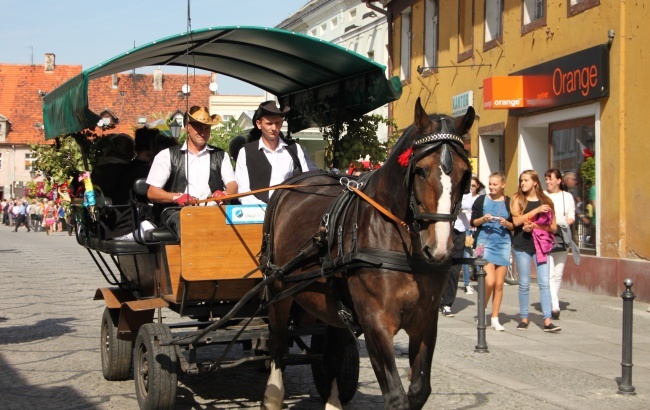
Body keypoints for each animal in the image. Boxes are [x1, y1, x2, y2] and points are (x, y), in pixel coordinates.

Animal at [260, 99, 474, 410]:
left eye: (464, 173)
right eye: (420, 170)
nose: (439, 249)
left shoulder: (425, 321)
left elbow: (419, 390)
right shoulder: (376, 322)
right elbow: (396, 396)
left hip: (333, 305)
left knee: (333, 353)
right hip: (278, 289)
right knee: (278, 345)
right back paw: (273, 396)